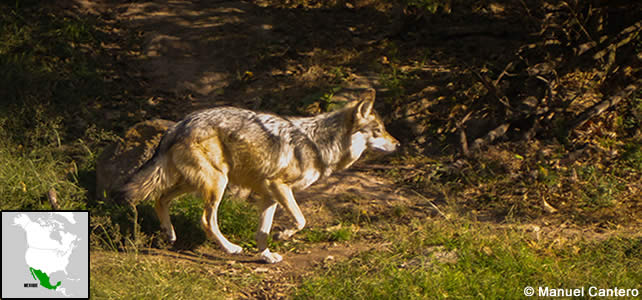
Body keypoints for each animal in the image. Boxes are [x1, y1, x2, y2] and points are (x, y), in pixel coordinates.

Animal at [122, 89, 398, 262]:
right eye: (379, 130)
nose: (398, 144)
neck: (319, 144)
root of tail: (178, 125)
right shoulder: (278, 187)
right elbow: (301, 221)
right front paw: (282, 236)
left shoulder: (271, 196)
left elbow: (262, 232)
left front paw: (266, 256)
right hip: (217, 184)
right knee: (206, 220)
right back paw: (230, 248)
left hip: (194, 183)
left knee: (160, 198)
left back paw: (169, 234)